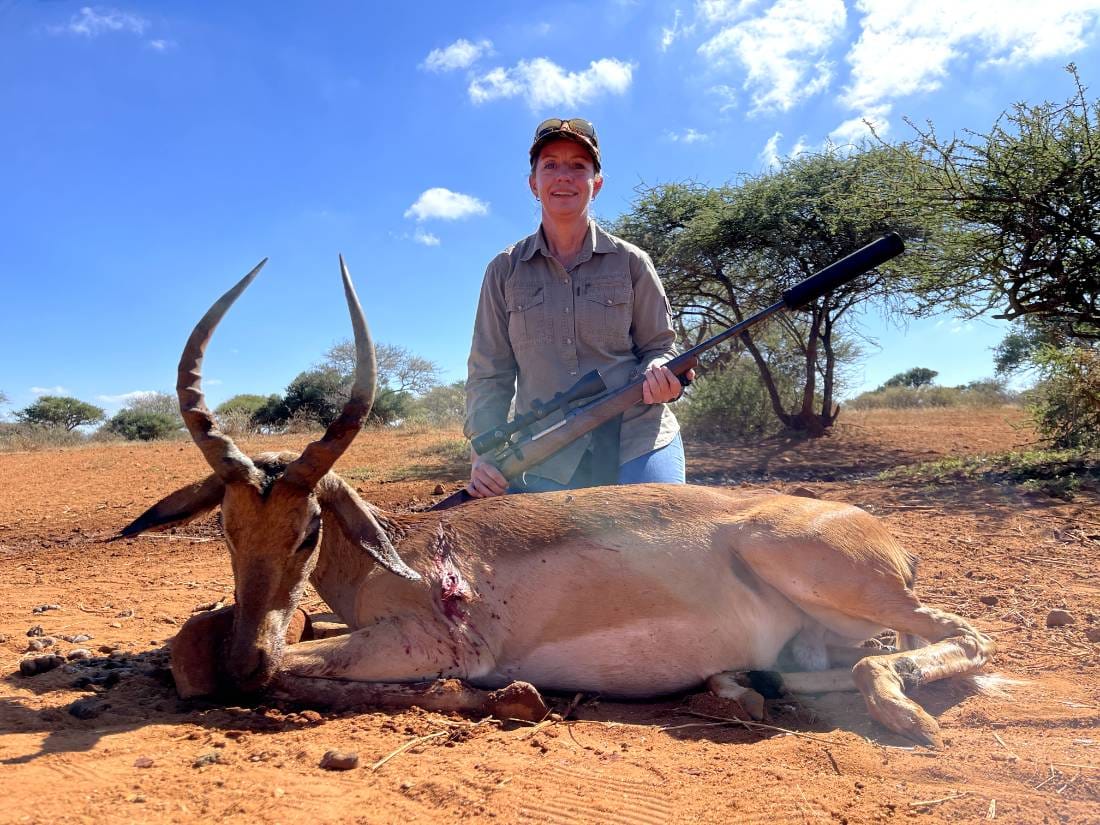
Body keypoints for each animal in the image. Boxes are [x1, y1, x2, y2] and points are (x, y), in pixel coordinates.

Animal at [118, 259, 994, 748]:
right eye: (226, 528)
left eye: (307, 531)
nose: (247, 654)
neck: (406, 551)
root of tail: (885, 535)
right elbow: (194, 649)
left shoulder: (428, 643)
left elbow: (286, 674)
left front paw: (508, 694)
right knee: (834, 663)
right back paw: (744, 685)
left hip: (819, 570)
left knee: (962, 635)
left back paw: (902, 716)